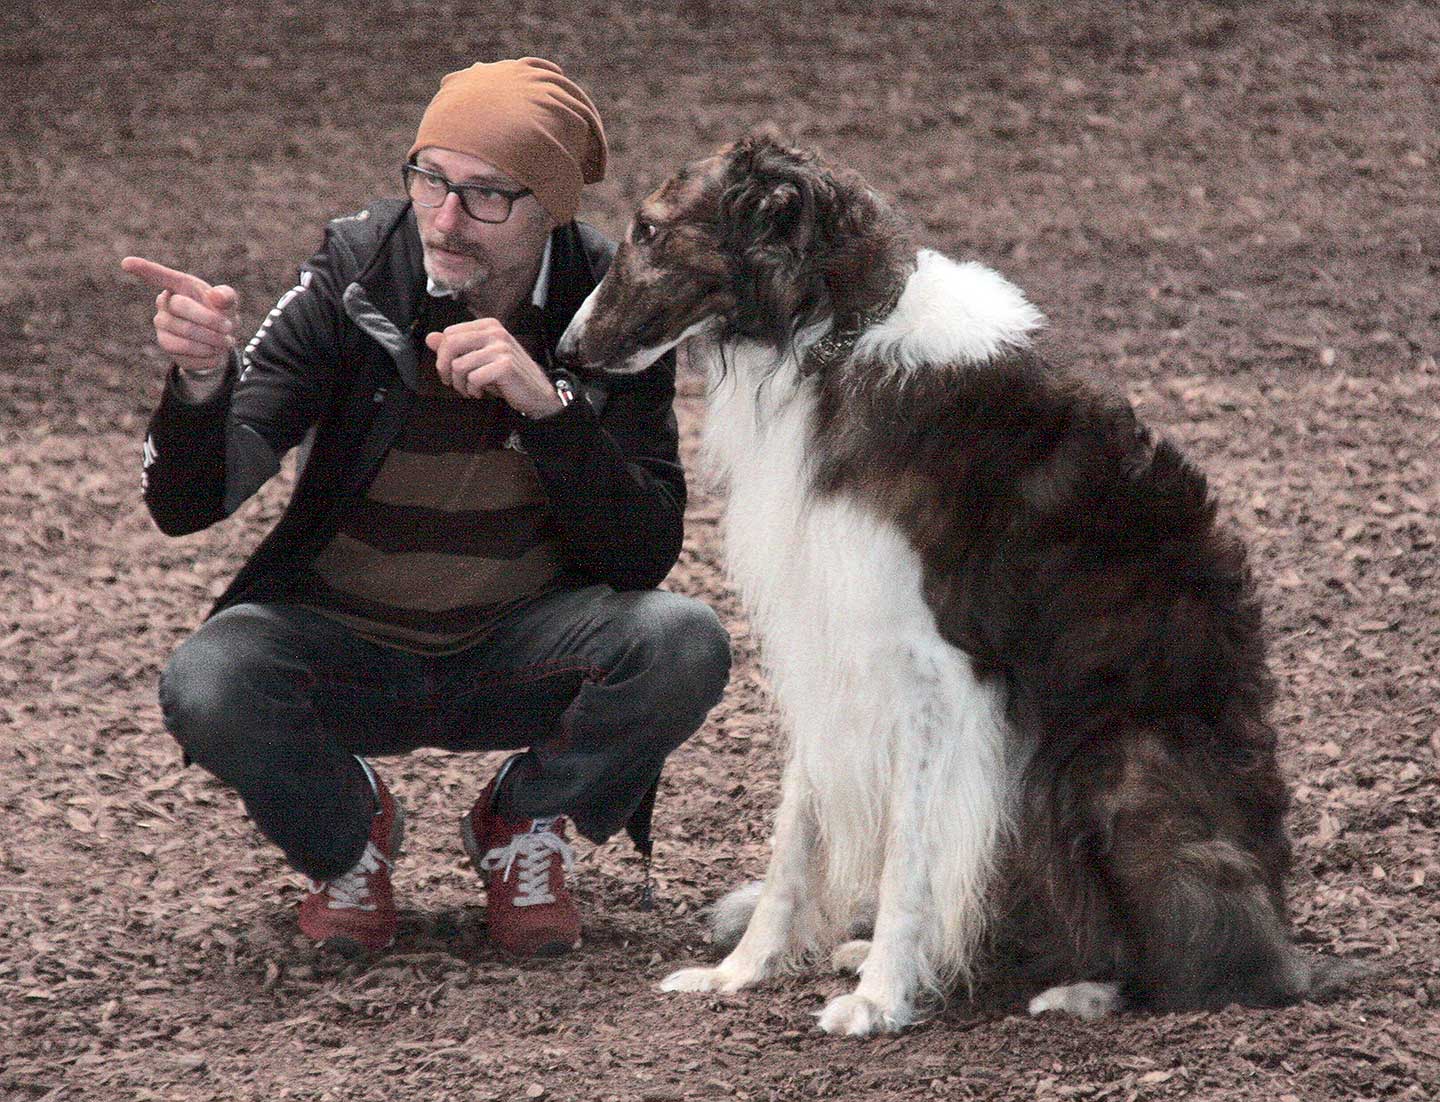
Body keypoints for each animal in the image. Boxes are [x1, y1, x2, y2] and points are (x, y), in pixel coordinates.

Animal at [555, 135, 1353, 1031]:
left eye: (649, 230)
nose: (567, 354)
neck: (834, 339)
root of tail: (1289, 947)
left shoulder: (935, 668)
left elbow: (909, 854)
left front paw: (878, 1001)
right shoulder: (825, 640)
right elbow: (796, 836)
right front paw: (742, 972)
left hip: (1109, 764)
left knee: (1209, 969)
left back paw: (1085, 988)